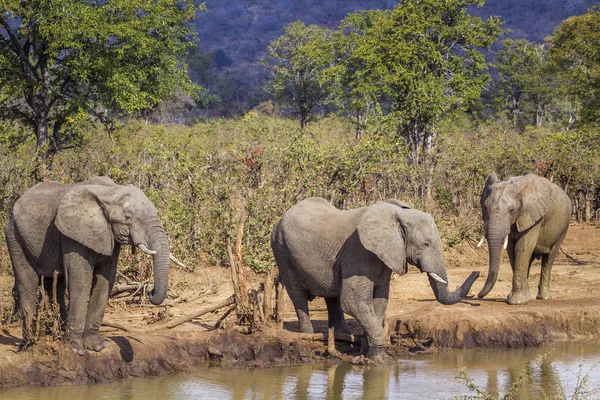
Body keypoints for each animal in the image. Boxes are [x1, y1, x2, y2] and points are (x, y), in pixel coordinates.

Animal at [4, 177, 171, 354]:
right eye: (128, 217)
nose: (151, 292)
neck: (111, 191)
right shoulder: (72, 235)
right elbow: (81, 281)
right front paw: (75, 350)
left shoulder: (108, 236)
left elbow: (105, 280)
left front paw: (96, 346)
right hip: (14, 236)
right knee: (28, 283)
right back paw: (27, 344)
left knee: (55, 284)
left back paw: (56, 337)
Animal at [270, 196, 480, 360]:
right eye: (426, 244)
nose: (477, 272)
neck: (397, 215)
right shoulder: (358, 253)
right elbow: (353, 301)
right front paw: (378, 360)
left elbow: (379, 301)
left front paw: (367, 353)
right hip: (281, 249)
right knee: (297, 294)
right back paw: (308, 335)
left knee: (332, 296)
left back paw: (342, 334)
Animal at [478, 173, 572, 306]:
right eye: (485, 208)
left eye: (512, 210)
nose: (478, 295)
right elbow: (512, 250)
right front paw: (520, 298)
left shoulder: (533, 217)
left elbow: (522, 248)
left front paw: (517, 302)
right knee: (530, 260)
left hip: (563, 227)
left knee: (549, 259)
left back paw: (544, 297)